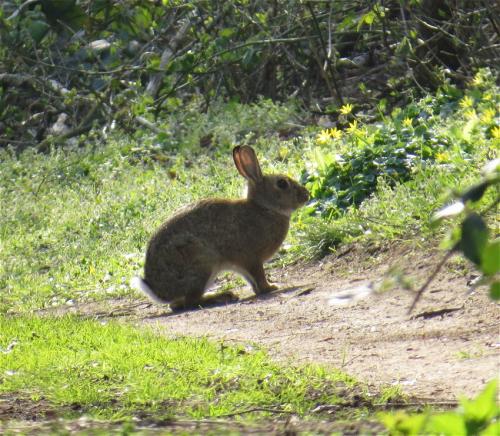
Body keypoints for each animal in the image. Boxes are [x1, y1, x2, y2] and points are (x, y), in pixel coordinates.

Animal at [135, 146, 310, 310]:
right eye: (282, 183)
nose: (306, 195)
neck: (263, 207)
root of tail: (159, 291)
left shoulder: (242, 263)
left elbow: (250, 279)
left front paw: (262, 289)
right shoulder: (251, 257)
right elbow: (258, 275)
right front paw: (270, 287)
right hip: (201, 261)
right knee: (192, 301)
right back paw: (221, 296)